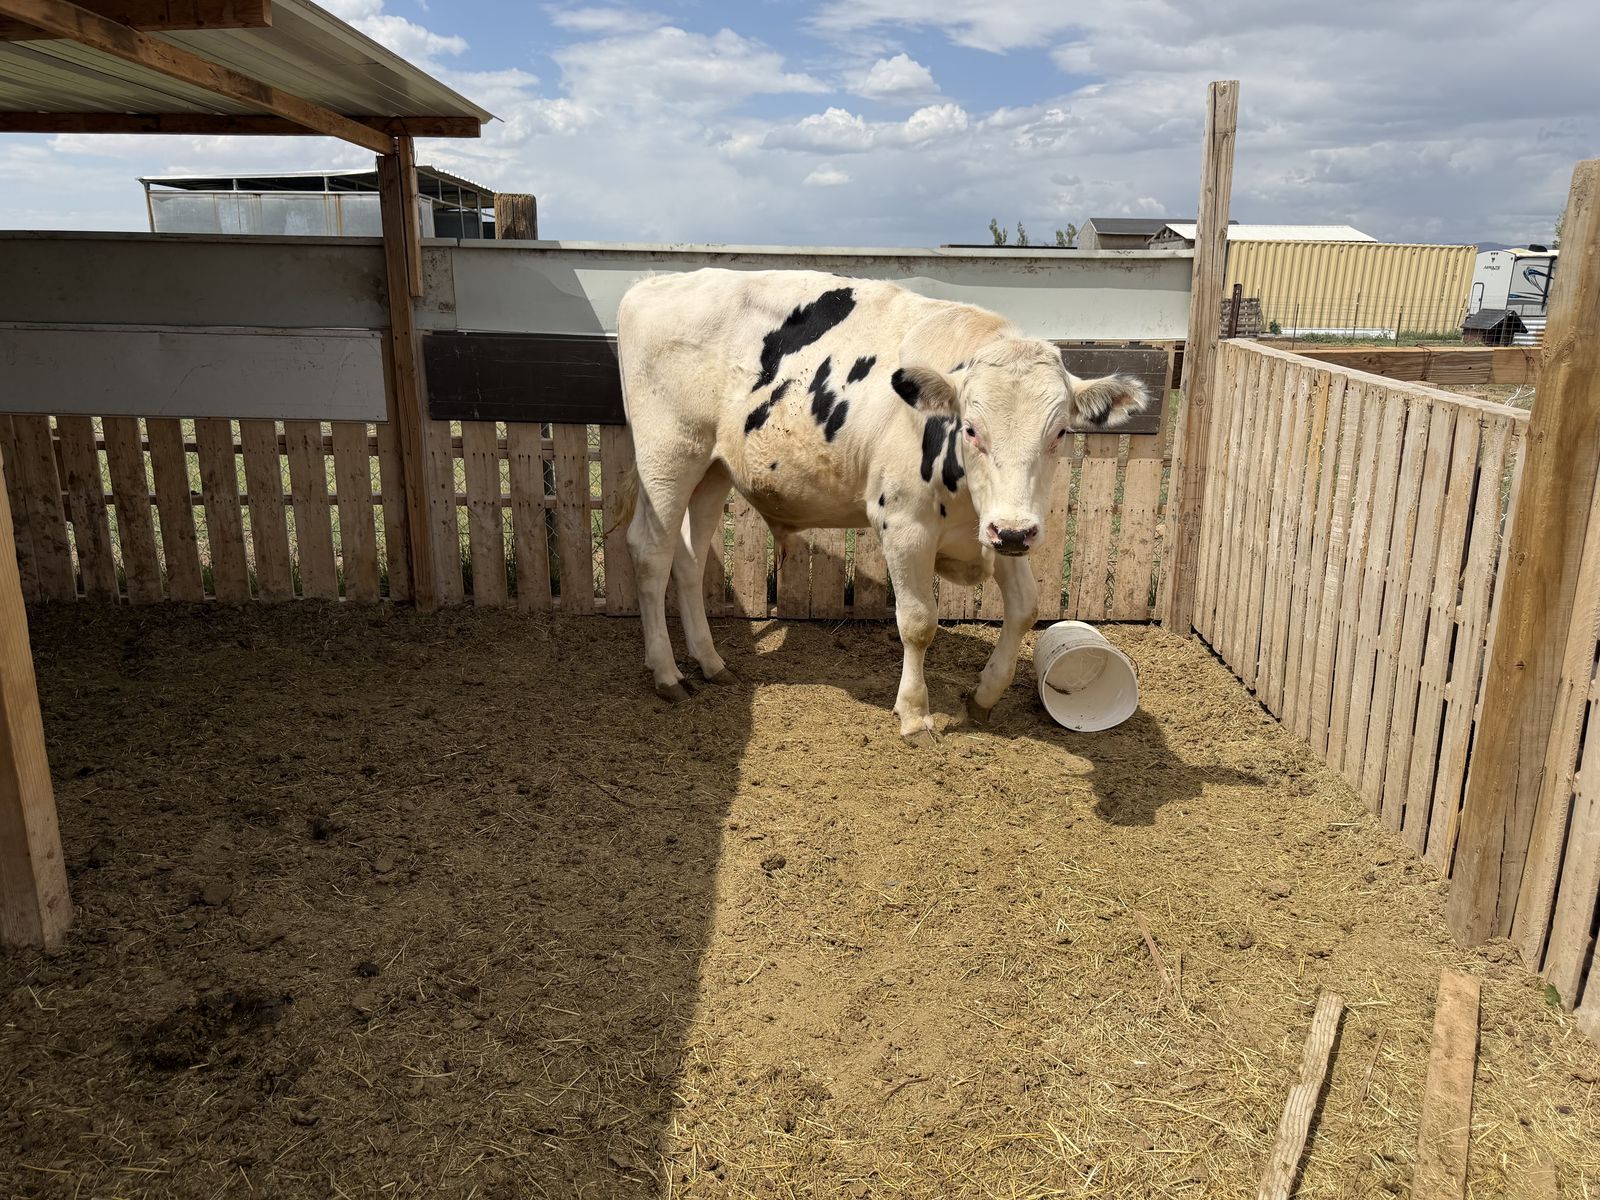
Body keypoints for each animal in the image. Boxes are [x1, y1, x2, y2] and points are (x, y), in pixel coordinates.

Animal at [615, 268, 1148, 743]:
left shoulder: (996, 529)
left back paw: (710, 663)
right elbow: (918, 623)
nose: (1015, 532)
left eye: (1059, 433)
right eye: (972, 429)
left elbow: (1024, 609)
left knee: (688, 559)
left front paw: (984, 695)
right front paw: (913, 714)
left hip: (713, 470)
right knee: (650, 552)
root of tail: (654, 283)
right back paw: (667, 674)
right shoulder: (905, 525)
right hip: (669, 455)